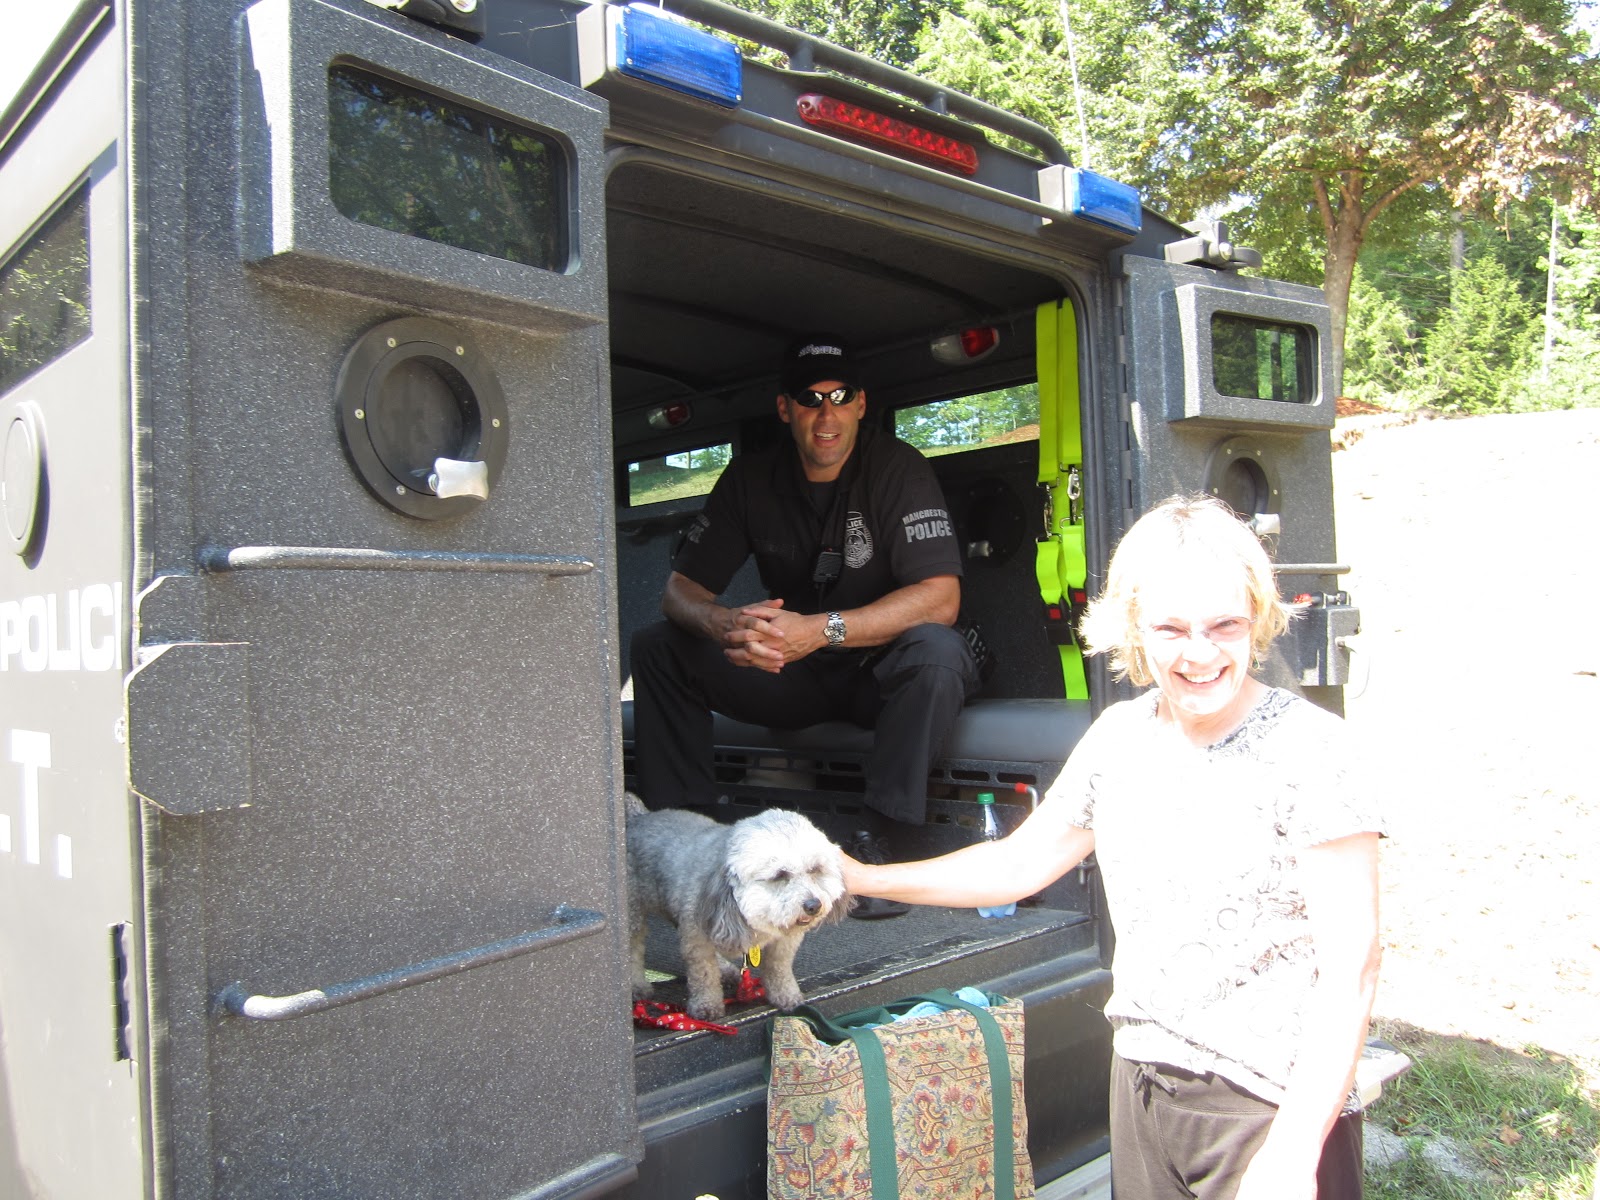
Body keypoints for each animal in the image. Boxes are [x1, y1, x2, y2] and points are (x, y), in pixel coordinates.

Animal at [624, 795, 851, 1021]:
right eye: (780, 875)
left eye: (815, 869)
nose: (813, 905)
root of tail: (639, 817)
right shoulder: (697, 939)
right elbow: (704, 975)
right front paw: (707, 1005)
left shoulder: (784, 942)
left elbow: (779, 967)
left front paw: (786, 995)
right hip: (633, 914)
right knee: (633, 949)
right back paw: (636, 987)